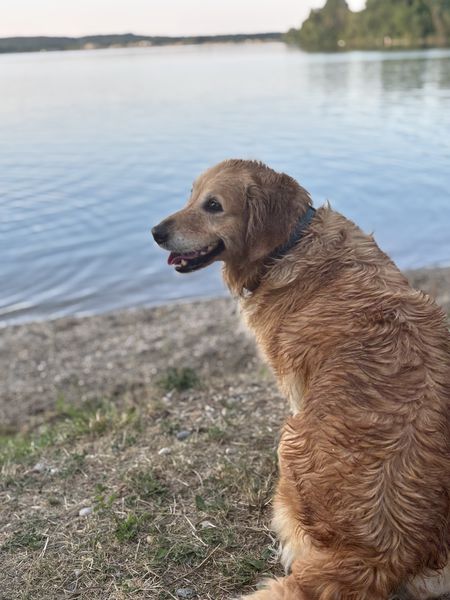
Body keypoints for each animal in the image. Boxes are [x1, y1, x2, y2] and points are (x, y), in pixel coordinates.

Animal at [152, 159, 450, 599]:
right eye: (191, 196)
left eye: (213, 205)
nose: (155, 232)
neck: (289, 246)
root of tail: (378, 556)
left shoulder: (294, 387)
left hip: (289, 444)